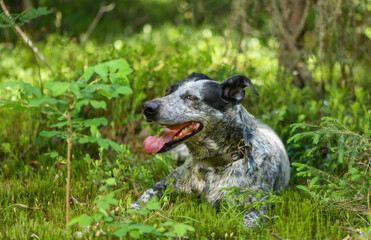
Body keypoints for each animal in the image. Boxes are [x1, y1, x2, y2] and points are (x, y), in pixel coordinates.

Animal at [131, 72, 290, 227]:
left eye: (191, 97)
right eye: (167, 91)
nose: (147, 107)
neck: (214, 165)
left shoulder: (260, 205)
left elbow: (248, 222)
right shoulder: (167, 183)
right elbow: (148, 193)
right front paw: (132, 210)